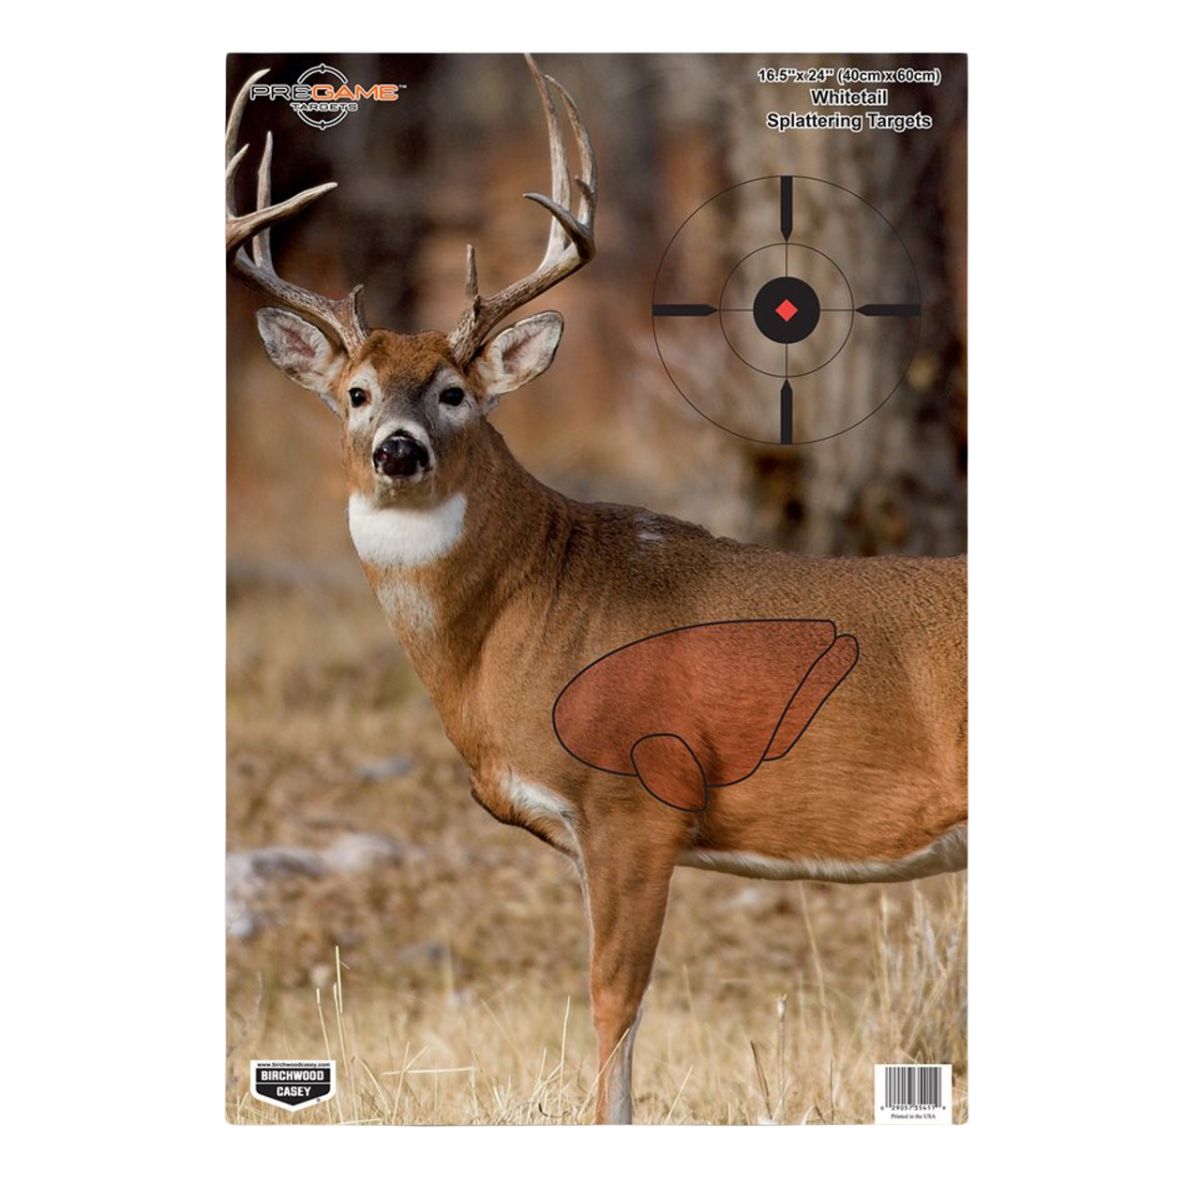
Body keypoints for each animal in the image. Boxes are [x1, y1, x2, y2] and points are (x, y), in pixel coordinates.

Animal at [226, 55, 967, 1124]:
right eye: (355, 393)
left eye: (454, 392)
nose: (398, 450)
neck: (524, 618)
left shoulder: (635, 799)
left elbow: (614, 1001)